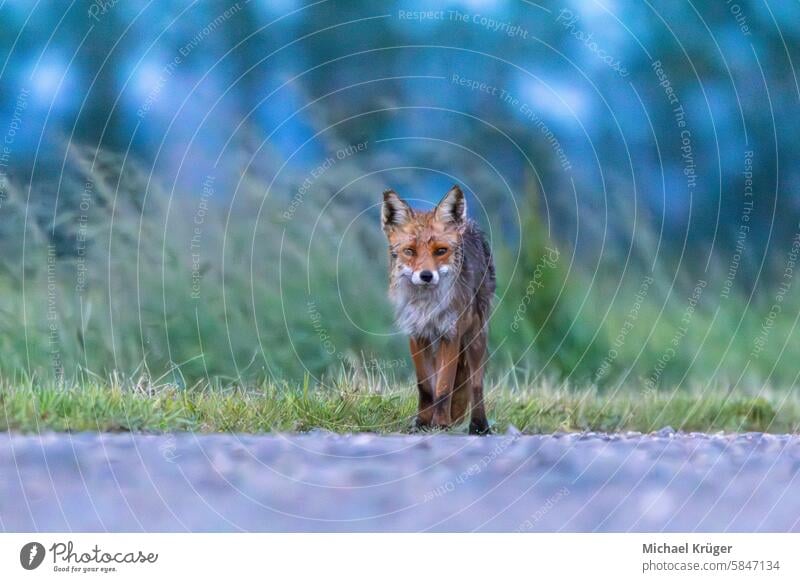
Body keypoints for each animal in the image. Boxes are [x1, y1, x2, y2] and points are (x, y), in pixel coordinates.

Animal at [382, 185, 494, 436]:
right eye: (410, 251)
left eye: (440, 251)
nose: (426, 275)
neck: (427, 306)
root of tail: (467, 225)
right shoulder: (417, 334)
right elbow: (426, 386)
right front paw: (423, 422)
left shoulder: (450, 334)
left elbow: (444, 387)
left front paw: (441, 424)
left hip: (475, 337)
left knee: (476, 385)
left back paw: (479, 425)